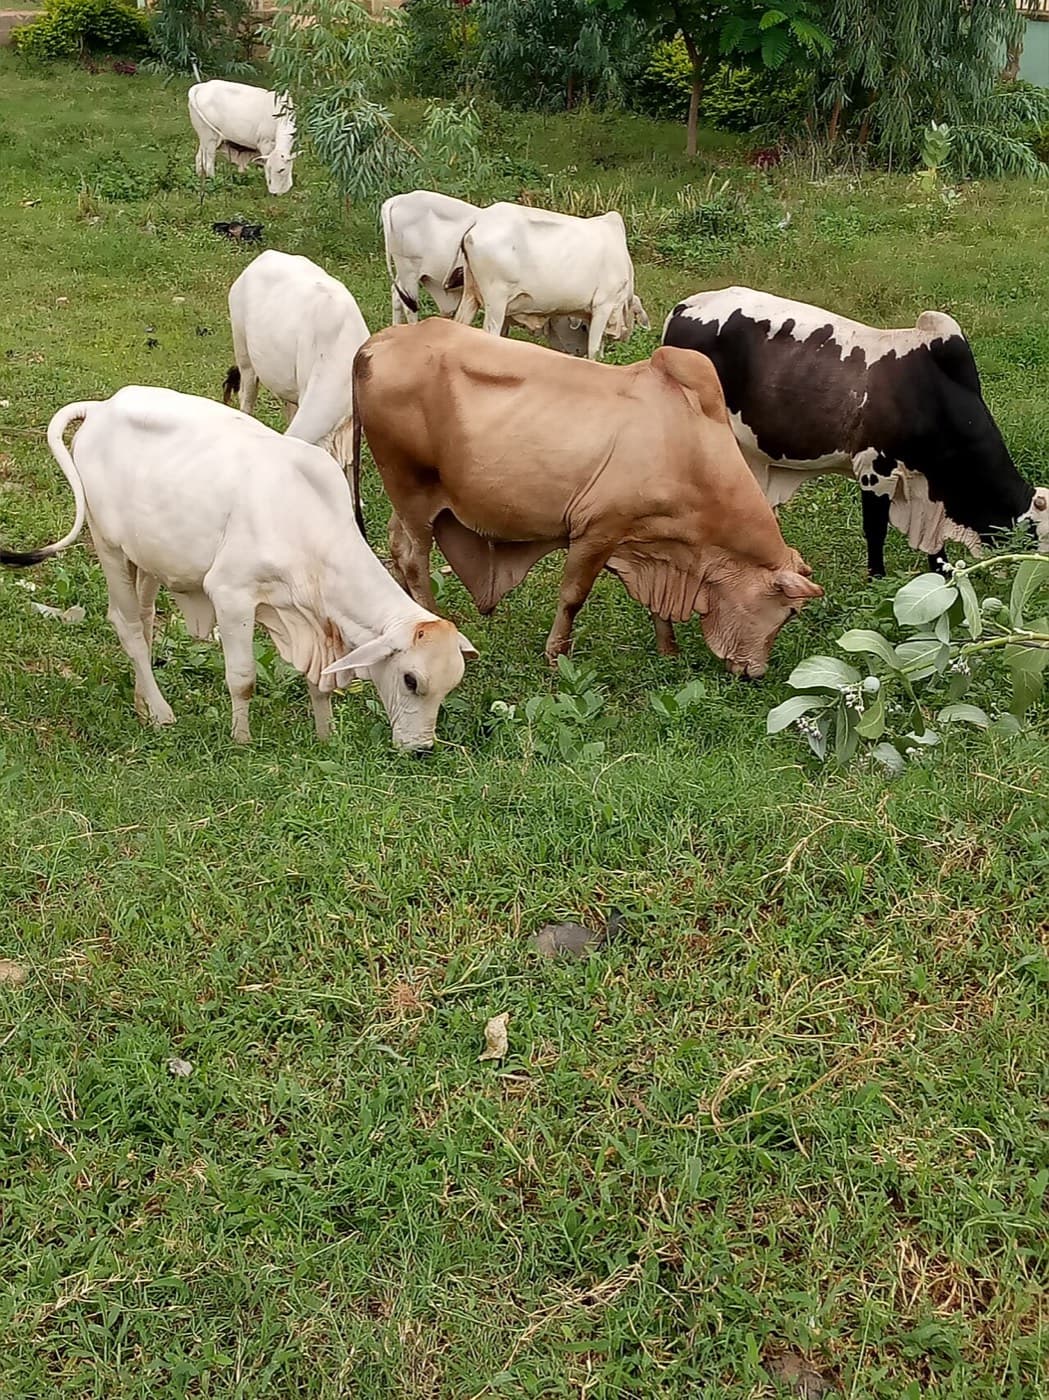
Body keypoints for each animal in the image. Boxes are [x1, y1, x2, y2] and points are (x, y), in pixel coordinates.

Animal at [0, 388, 476, 750]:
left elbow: (319, 683)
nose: (421, 749)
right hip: (109, 545)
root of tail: (101, 409)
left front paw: (325, 736)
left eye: (451, 686)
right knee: (128, 625)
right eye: (412, 680)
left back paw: (142, 703)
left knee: (146, 619)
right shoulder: (231, 595)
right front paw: (242, 739)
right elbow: (242, 678)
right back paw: (161, 713)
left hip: (146, 559)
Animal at [350, 320, 822, 676]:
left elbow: (658, 611)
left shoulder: (655, 546)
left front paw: (668, 651)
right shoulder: (598, 530)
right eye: (791, 612)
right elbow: (573, 596)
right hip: (411, 487)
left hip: (412, 497)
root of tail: (375, 344)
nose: (756, 672)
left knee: (395, 547)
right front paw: (557, 655)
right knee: (414, 557)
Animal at [663, 287, 1049, 575]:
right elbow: (875, 532)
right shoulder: (875, 470)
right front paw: (877, 580)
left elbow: (936, 551)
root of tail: (684, 307)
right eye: (1038, 538)